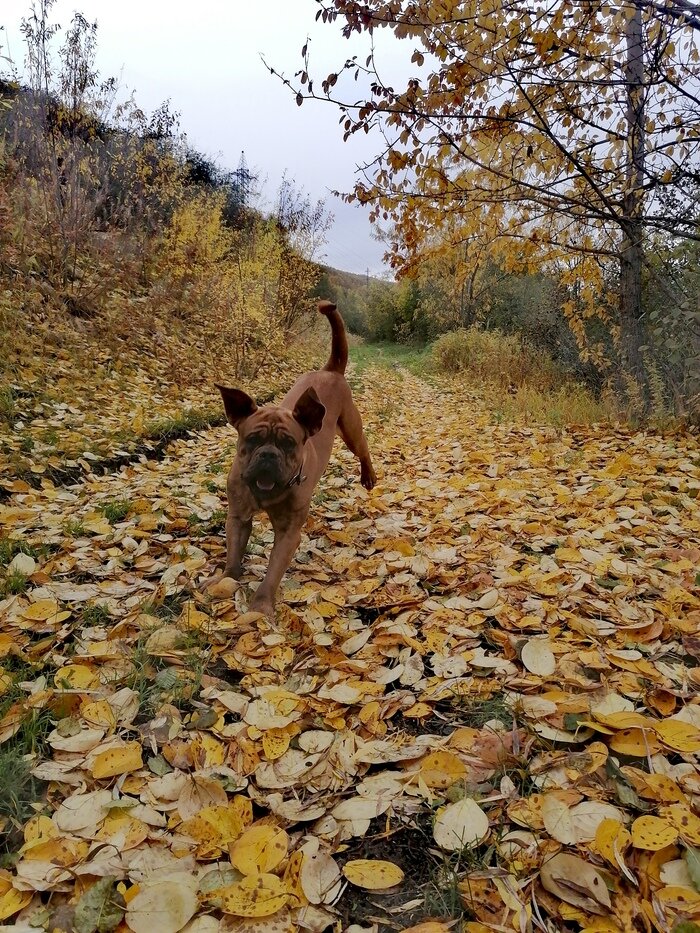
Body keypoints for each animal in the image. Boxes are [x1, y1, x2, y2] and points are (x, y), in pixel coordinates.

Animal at [212, 302, 378, 616]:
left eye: (288, 443)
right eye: (252, 440)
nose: (268, 455)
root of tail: (330, 370)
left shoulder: (288, 533)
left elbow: (273, 570)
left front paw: (261, 606)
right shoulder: (238, 517)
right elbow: (234, 552)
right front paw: (225, 579)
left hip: (352, 430)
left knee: (364, 451)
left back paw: (369, 476)